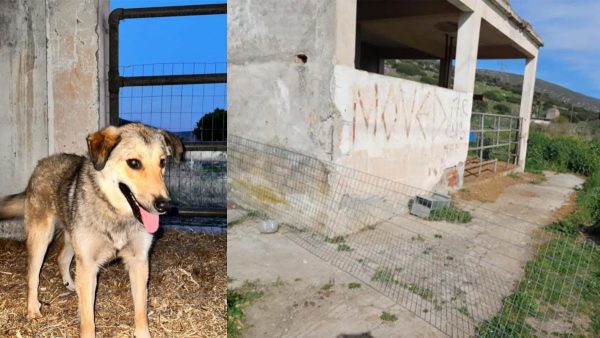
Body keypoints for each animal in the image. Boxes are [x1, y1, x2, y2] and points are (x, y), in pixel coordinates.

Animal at [0, 123, 183, 336]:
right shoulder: (88, 264)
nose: (165, 205)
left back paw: (71, 285)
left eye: (162, 162)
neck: (115, 212)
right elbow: (88, 318)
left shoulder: (138, 262)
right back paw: (33, 309)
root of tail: (42, 162)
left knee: (61, 258)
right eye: (134, 163)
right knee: (32, 275)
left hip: (72, 238)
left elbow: (141, 311)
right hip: (41, 239)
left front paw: (143, 333)